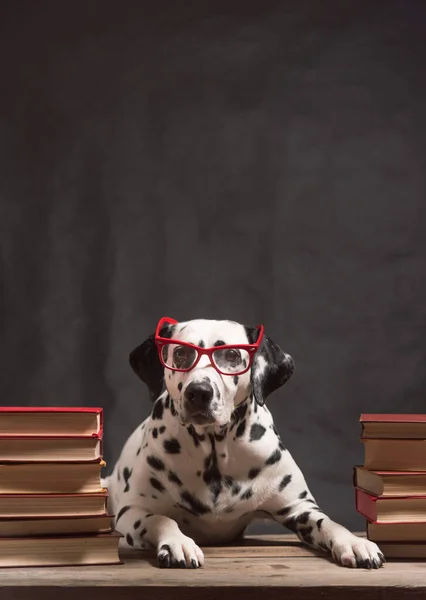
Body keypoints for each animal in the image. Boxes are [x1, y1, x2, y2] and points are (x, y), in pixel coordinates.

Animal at [104, 316, 386, 568]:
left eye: (231, 356)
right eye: (182, 353)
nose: (199, 392)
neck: (214, 450)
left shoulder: (300, 507)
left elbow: (328, 522)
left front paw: (353, 542)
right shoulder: (133, 511)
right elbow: (161, 520)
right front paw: (178, 543)